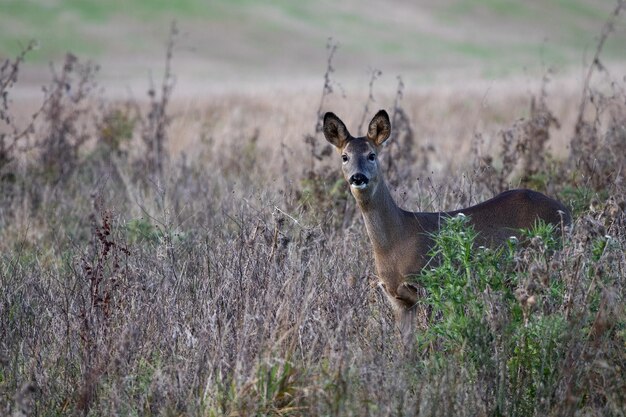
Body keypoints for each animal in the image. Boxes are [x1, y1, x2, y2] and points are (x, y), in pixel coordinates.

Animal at [322, 109, 572, 334]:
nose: (357, 177)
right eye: (345, 157)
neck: (395, 242)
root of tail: (567, 212)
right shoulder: (398, 300)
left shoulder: (433, 284)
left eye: (371, 155)